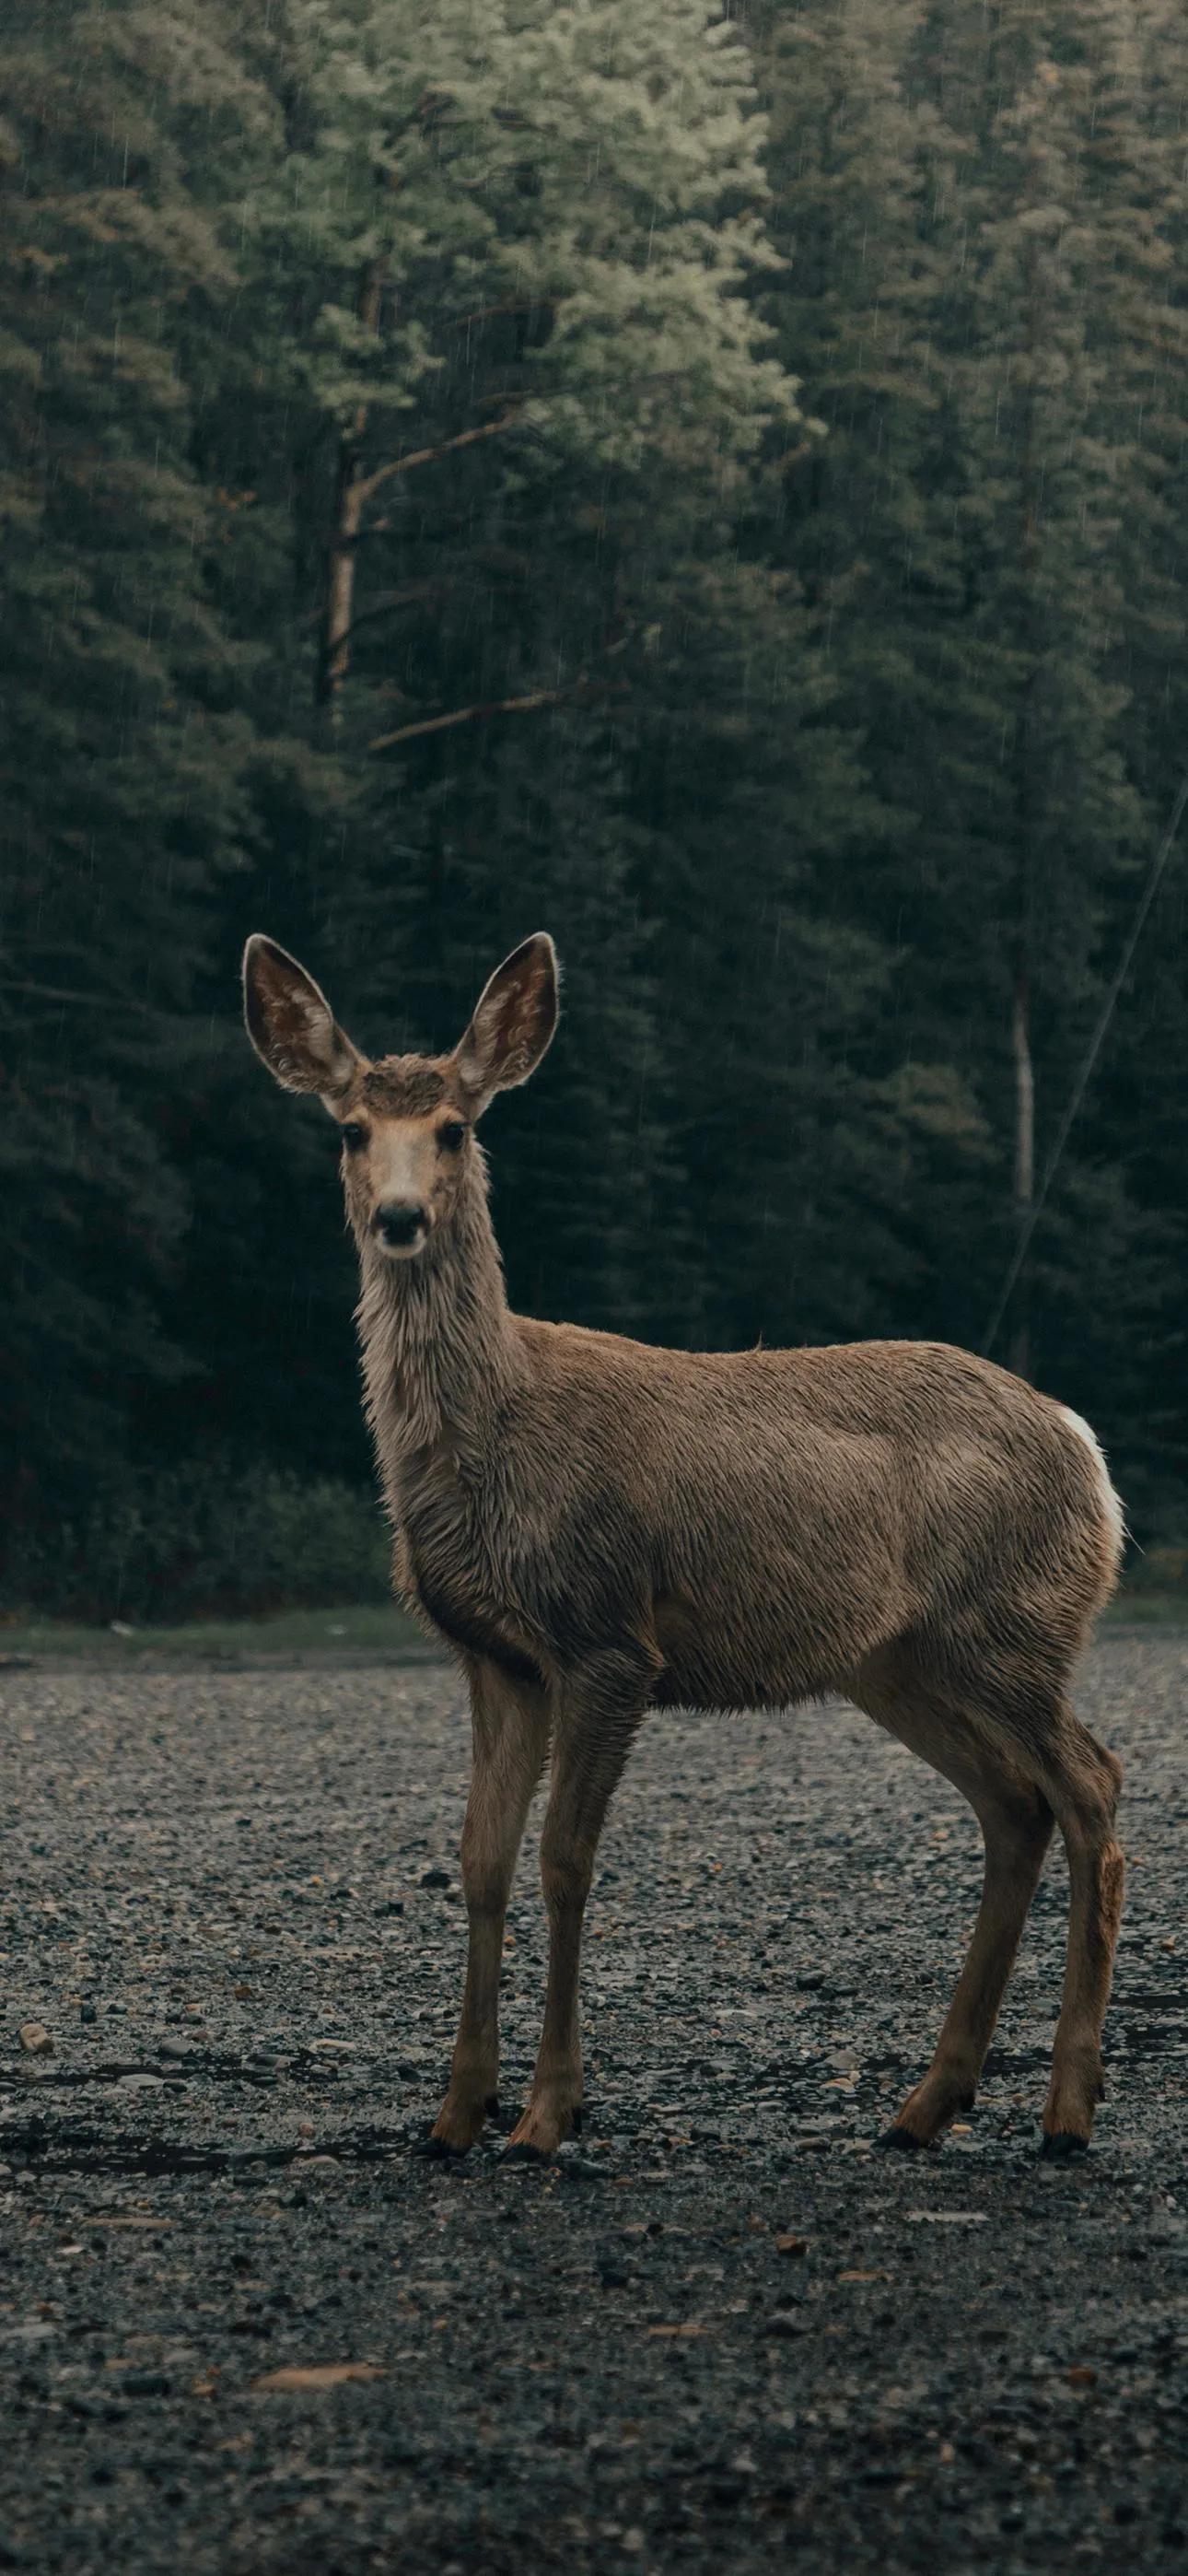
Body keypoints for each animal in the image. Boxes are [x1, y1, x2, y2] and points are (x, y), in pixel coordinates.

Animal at [243, 928, 1126, 2164]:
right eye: (353, 1129)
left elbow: (566, 1859)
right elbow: (479, 1860)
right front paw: (455, 2115)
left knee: (1092, 1785)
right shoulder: (494, 1655)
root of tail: (1084, 1445)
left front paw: (547, 2115)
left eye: (457, 1127)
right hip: (899, 1659)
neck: (498, 1427)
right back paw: (925, 2106)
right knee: (1015, 1804)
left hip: (1011, 1625)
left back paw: (1066, 2112)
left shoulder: (608, 1635)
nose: (401, 1219)